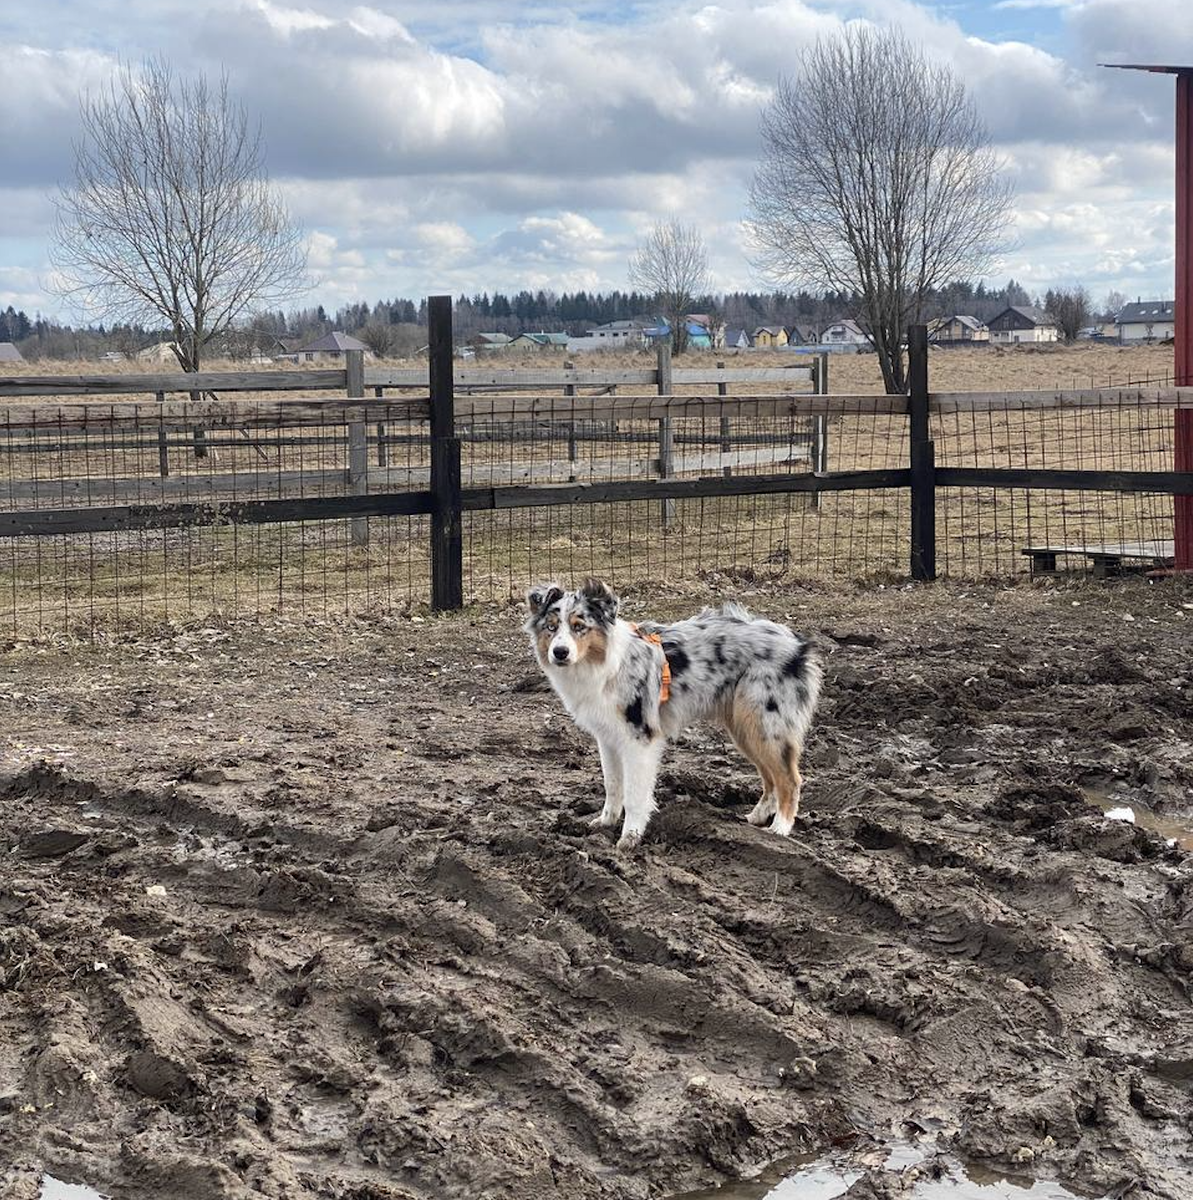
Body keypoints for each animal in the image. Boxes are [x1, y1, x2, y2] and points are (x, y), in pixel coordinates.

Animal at [524, 578, 821, 850]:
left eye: (579, 626)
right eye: (551, 627)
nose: (560, 652)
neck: (606, 664)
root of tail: (797, 643)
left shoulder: (639, 738)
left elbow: (634, 794)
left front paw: (629, 838)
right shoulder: (607, 737)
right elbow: (613, 784)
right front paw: (605, 822)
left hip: (764, 724)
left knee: (789, 779)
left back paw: (780, 828)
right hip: (745, 727)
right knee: (770, 778)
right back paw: (757, 817)